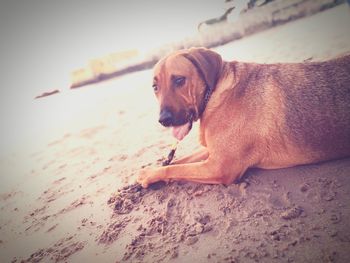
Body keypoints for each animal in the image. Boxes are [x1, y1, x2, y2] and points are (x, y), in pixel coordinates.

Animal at [137, 47, 350, 188]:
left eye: (179, 80)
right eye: (155, 87)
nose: (163, 120)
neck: (213, 94)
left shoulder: (218, 167)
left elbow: (175, 169)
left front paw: (149, 173)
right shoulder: (212, 152)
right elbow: (180, 161)